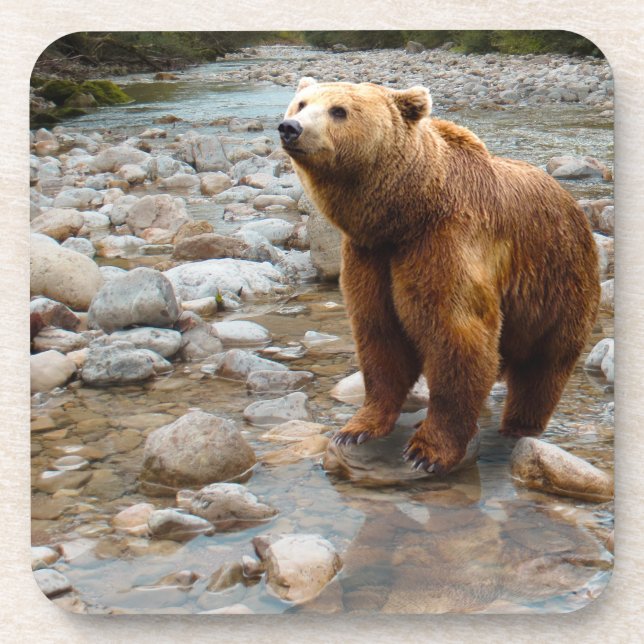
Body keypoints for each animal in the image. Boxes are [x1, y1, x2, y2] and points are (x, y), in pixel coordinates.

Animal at [278, 77, 600, 475]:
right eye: (301, 103)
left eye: (339, 110)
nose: (290, 128)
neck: (406, 213)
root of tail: (573, 203)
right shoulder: (371, 257)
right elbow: (379, 336)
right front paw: (356, 429)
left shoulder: (444, 242)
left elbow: (456, 336)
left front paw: (426, 451)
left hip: (558, 282)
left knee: (543, 366)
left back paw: (518, 425)